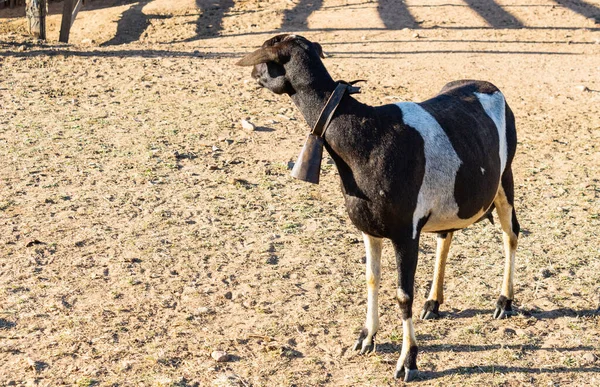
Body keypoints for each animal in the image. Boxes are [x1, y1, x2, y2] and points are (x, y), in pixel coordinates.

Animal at [238, 34, 520, 384]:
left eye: (268, 56)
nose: (253, 73)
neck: (365, 138)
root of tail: (491, 86)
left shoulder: (405, 232)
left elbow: (402, 296)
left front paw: (408, 362)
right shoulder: (368, 227)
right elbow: (372, 279)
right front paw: (365, 338)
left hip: (505, 176)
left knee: (511, 234)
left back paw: (504, 301)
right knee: (446, 236)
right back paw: (433, 303)